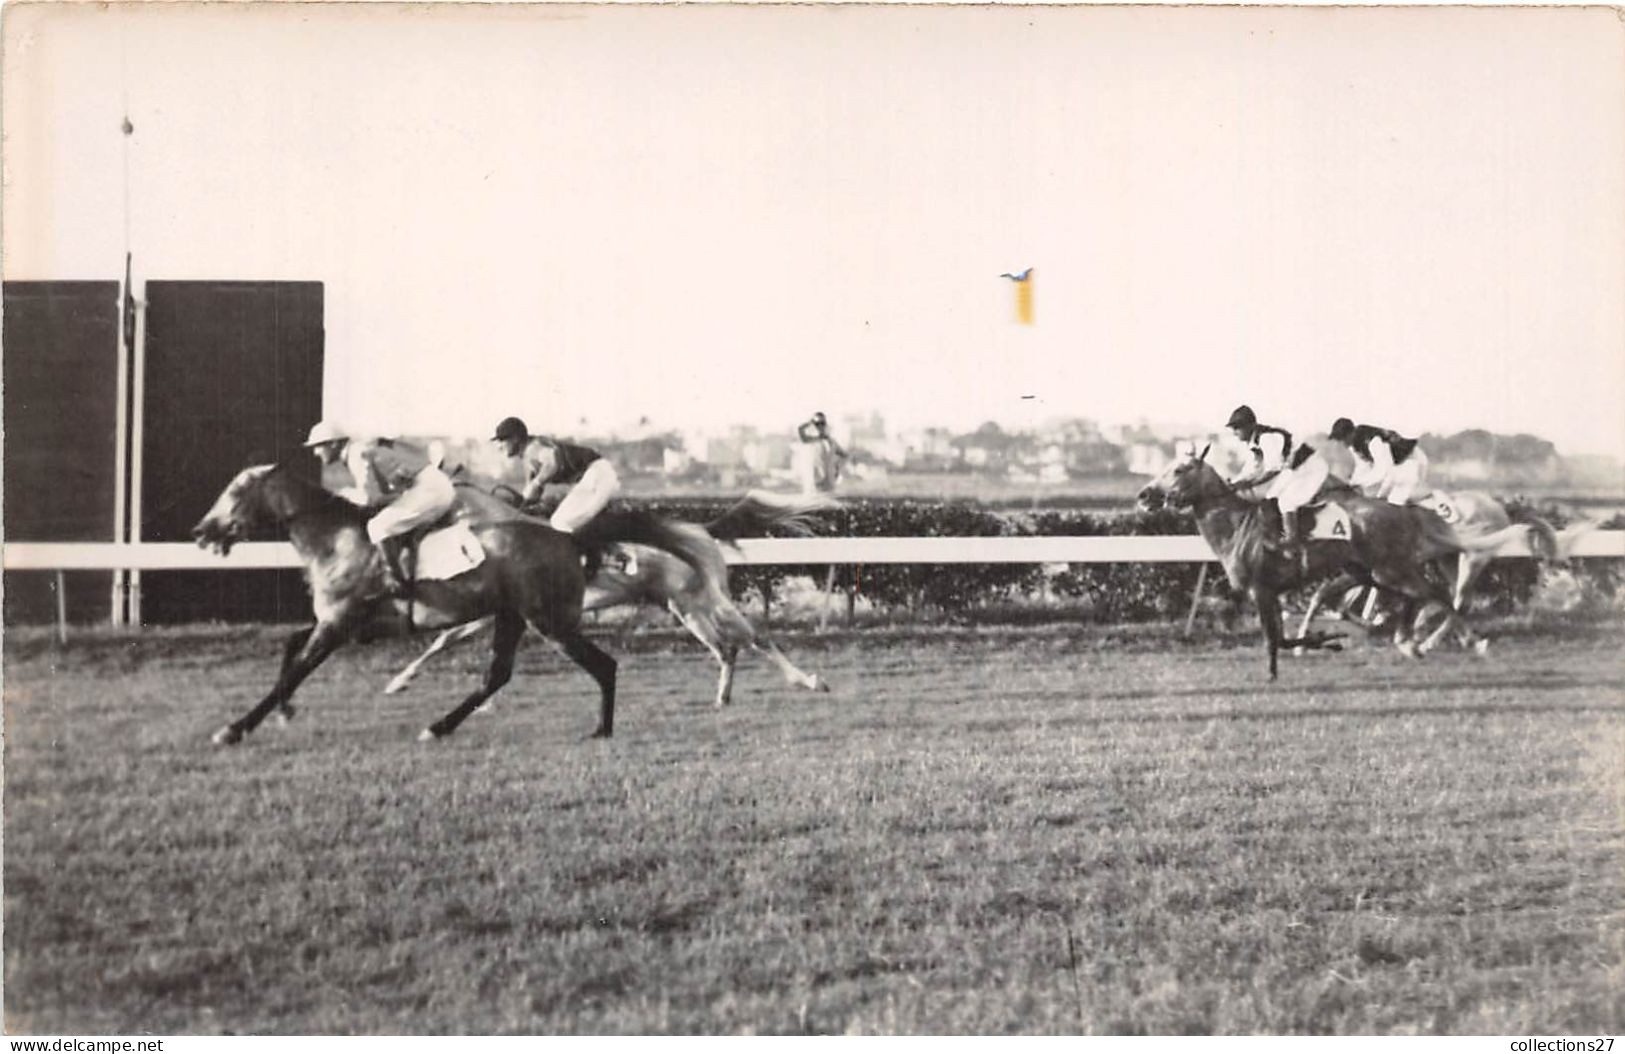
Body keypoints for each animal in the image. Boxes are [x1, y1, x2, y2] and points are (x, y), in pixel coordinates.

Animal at [188, 464, 718, 743]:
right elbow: (290, 651)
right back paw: (440, 726)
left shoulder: (339, 623)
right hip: (512, 617)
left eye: (233, 493)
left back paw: (601, 730)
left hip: (550, 622)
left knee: (603, 665)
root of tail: (567, 538)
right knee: (497, 675)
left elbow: (295, 669)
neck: (335, 538)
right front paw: (284, 712)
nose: (200, 531)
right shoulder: (346, 623)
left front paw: (235, 727)